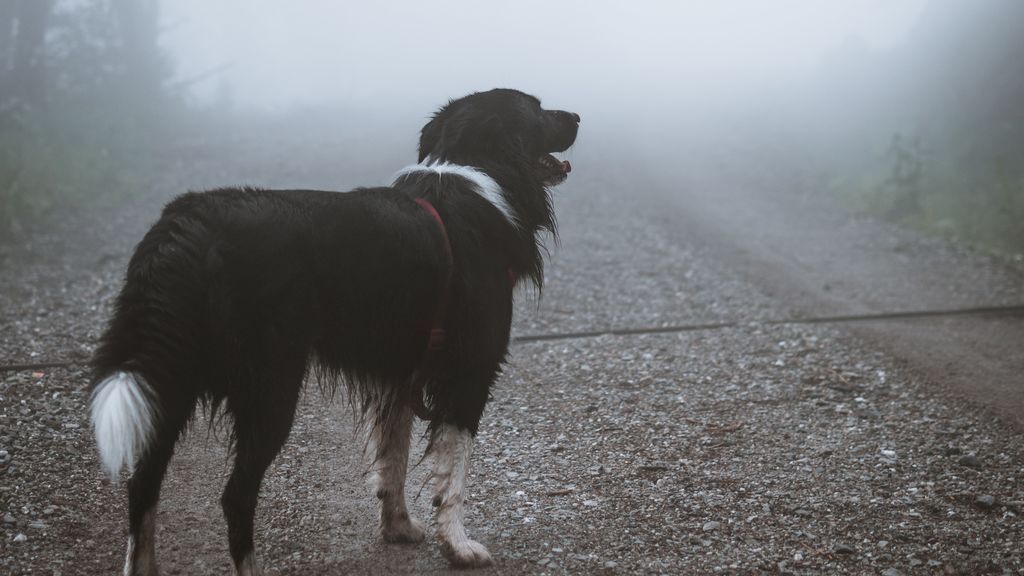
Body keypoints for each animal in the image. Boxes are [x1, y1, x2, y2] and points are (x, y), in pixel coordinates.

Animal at [88, 87, 581, 569]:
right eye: (536, 108)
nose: (576, 116)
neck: (477, 170)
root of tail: (184, 223)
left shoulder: (401, 371)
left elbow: (394, 458)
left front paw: (398, 527)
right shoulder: (469, 370)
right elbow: (452, 475)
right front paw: (459, 547)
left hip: (169, 375)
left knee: (143, 485)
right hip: (269, 386)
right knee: (234, 497)